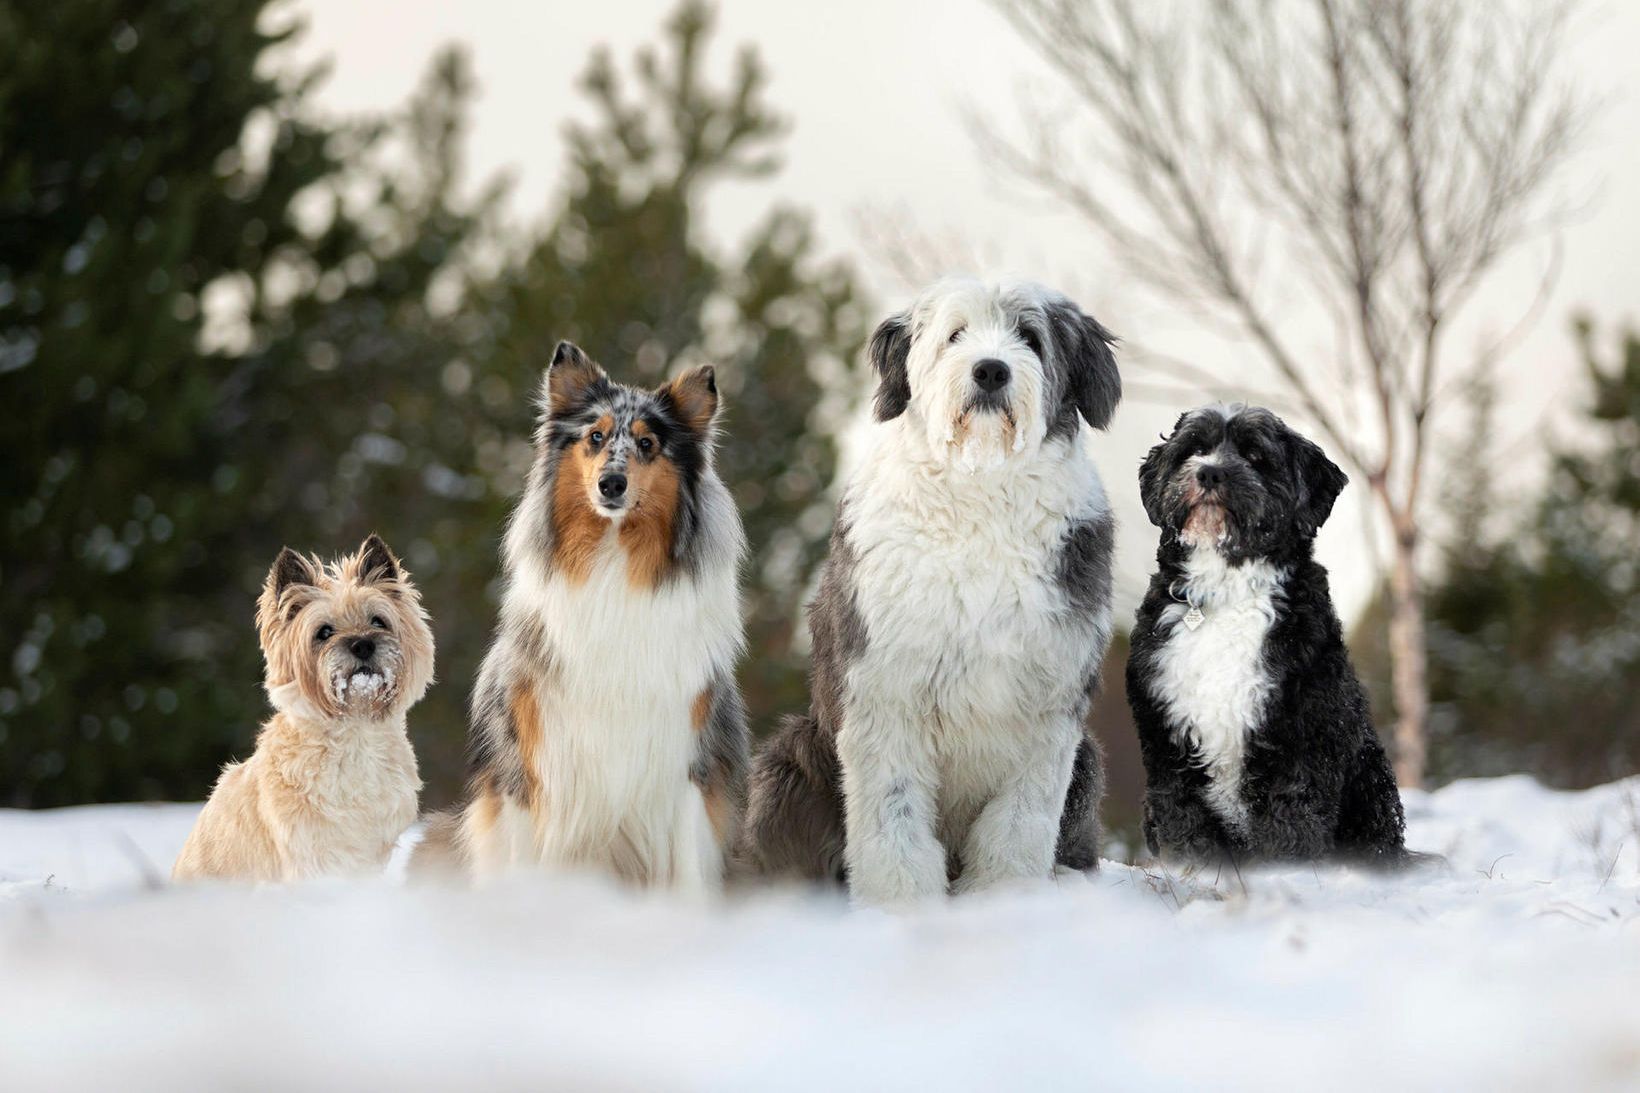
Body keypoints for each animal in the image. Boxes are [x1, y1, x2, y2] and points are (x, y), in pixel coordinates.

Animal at [1128, 403, 1410, 866]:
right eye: (1194, 448)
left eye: (1256, 456)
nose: (1209, 472)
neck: (1228, 591)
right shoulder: (1168, 746)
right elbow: (1185, 826)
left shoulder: (1303, 743)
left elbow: (1290, 826)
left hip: (1372, 785)